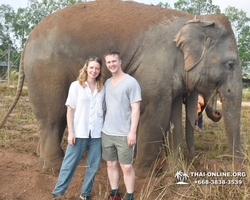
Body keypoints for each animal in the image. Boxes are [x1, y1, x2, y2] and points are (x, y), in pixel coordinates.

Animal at [0, 0, 242, 177]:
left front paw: (173, 171)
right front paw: (146, 175)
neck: (193, 20)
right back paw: (55, 167)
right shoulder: (157, 64)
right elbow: (155, 113)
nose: (234, 169)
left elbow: (172, 115)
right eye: (230, 64)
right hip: (47, 71)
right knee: (55, 115)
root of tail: (27, 41)